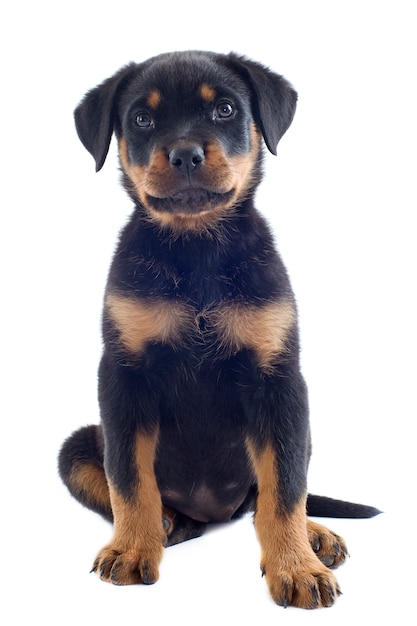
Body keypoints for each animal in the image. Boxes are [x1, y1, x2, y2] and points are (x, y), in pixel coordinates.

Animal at [58, 51, 380, 608]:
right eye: (141, 119)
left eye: (225, 109)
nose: (185, 153)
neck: (197, 251)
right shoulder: (123, 377)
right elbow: (128, 480)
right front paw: (132, 549)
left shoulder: (278, 382)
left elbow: (284, 490)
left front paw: (296, 568)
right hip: (77, 444)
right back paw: (168, 523)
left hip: (301, 425)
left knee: (268, 496)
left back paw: (314, 536)